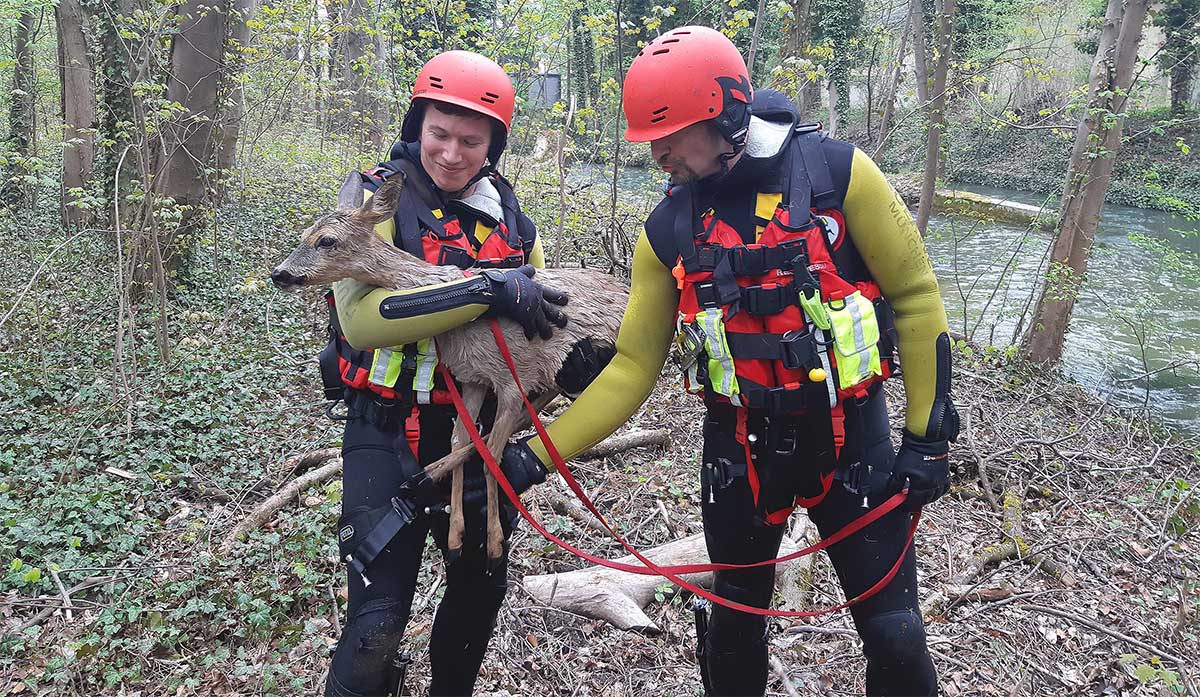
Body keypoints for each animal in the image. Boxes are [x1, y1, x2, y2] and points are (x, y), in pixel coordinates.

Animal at [272, 171, 628, 561]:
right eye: (305, 233)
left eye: (327, 240)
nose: (279, 273)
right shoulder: (474, 378)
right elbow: (460, 439)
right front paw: (456, 532)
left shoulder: (511, 375)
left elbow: (492, 456)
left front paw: (493, 540)